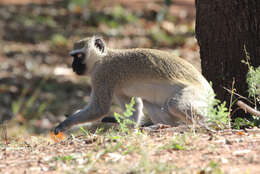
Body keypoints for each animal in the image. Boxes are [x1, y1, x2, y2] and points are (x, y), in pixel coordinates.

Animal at [53, 35, 214, 133]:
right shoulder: (117, 89)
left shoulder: (103, 75)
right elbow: (135, 105)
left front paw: (65, 123)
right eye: (73, 57)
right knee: (149, 101)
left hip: (198, 94)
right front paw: (129, 130)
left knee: (175, 104)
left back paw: (203, 123)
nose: (73, 66)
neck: (102, 59)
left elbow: (99, 108)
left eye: (79, 56)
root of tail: (209, 90)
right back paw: (163, 126)